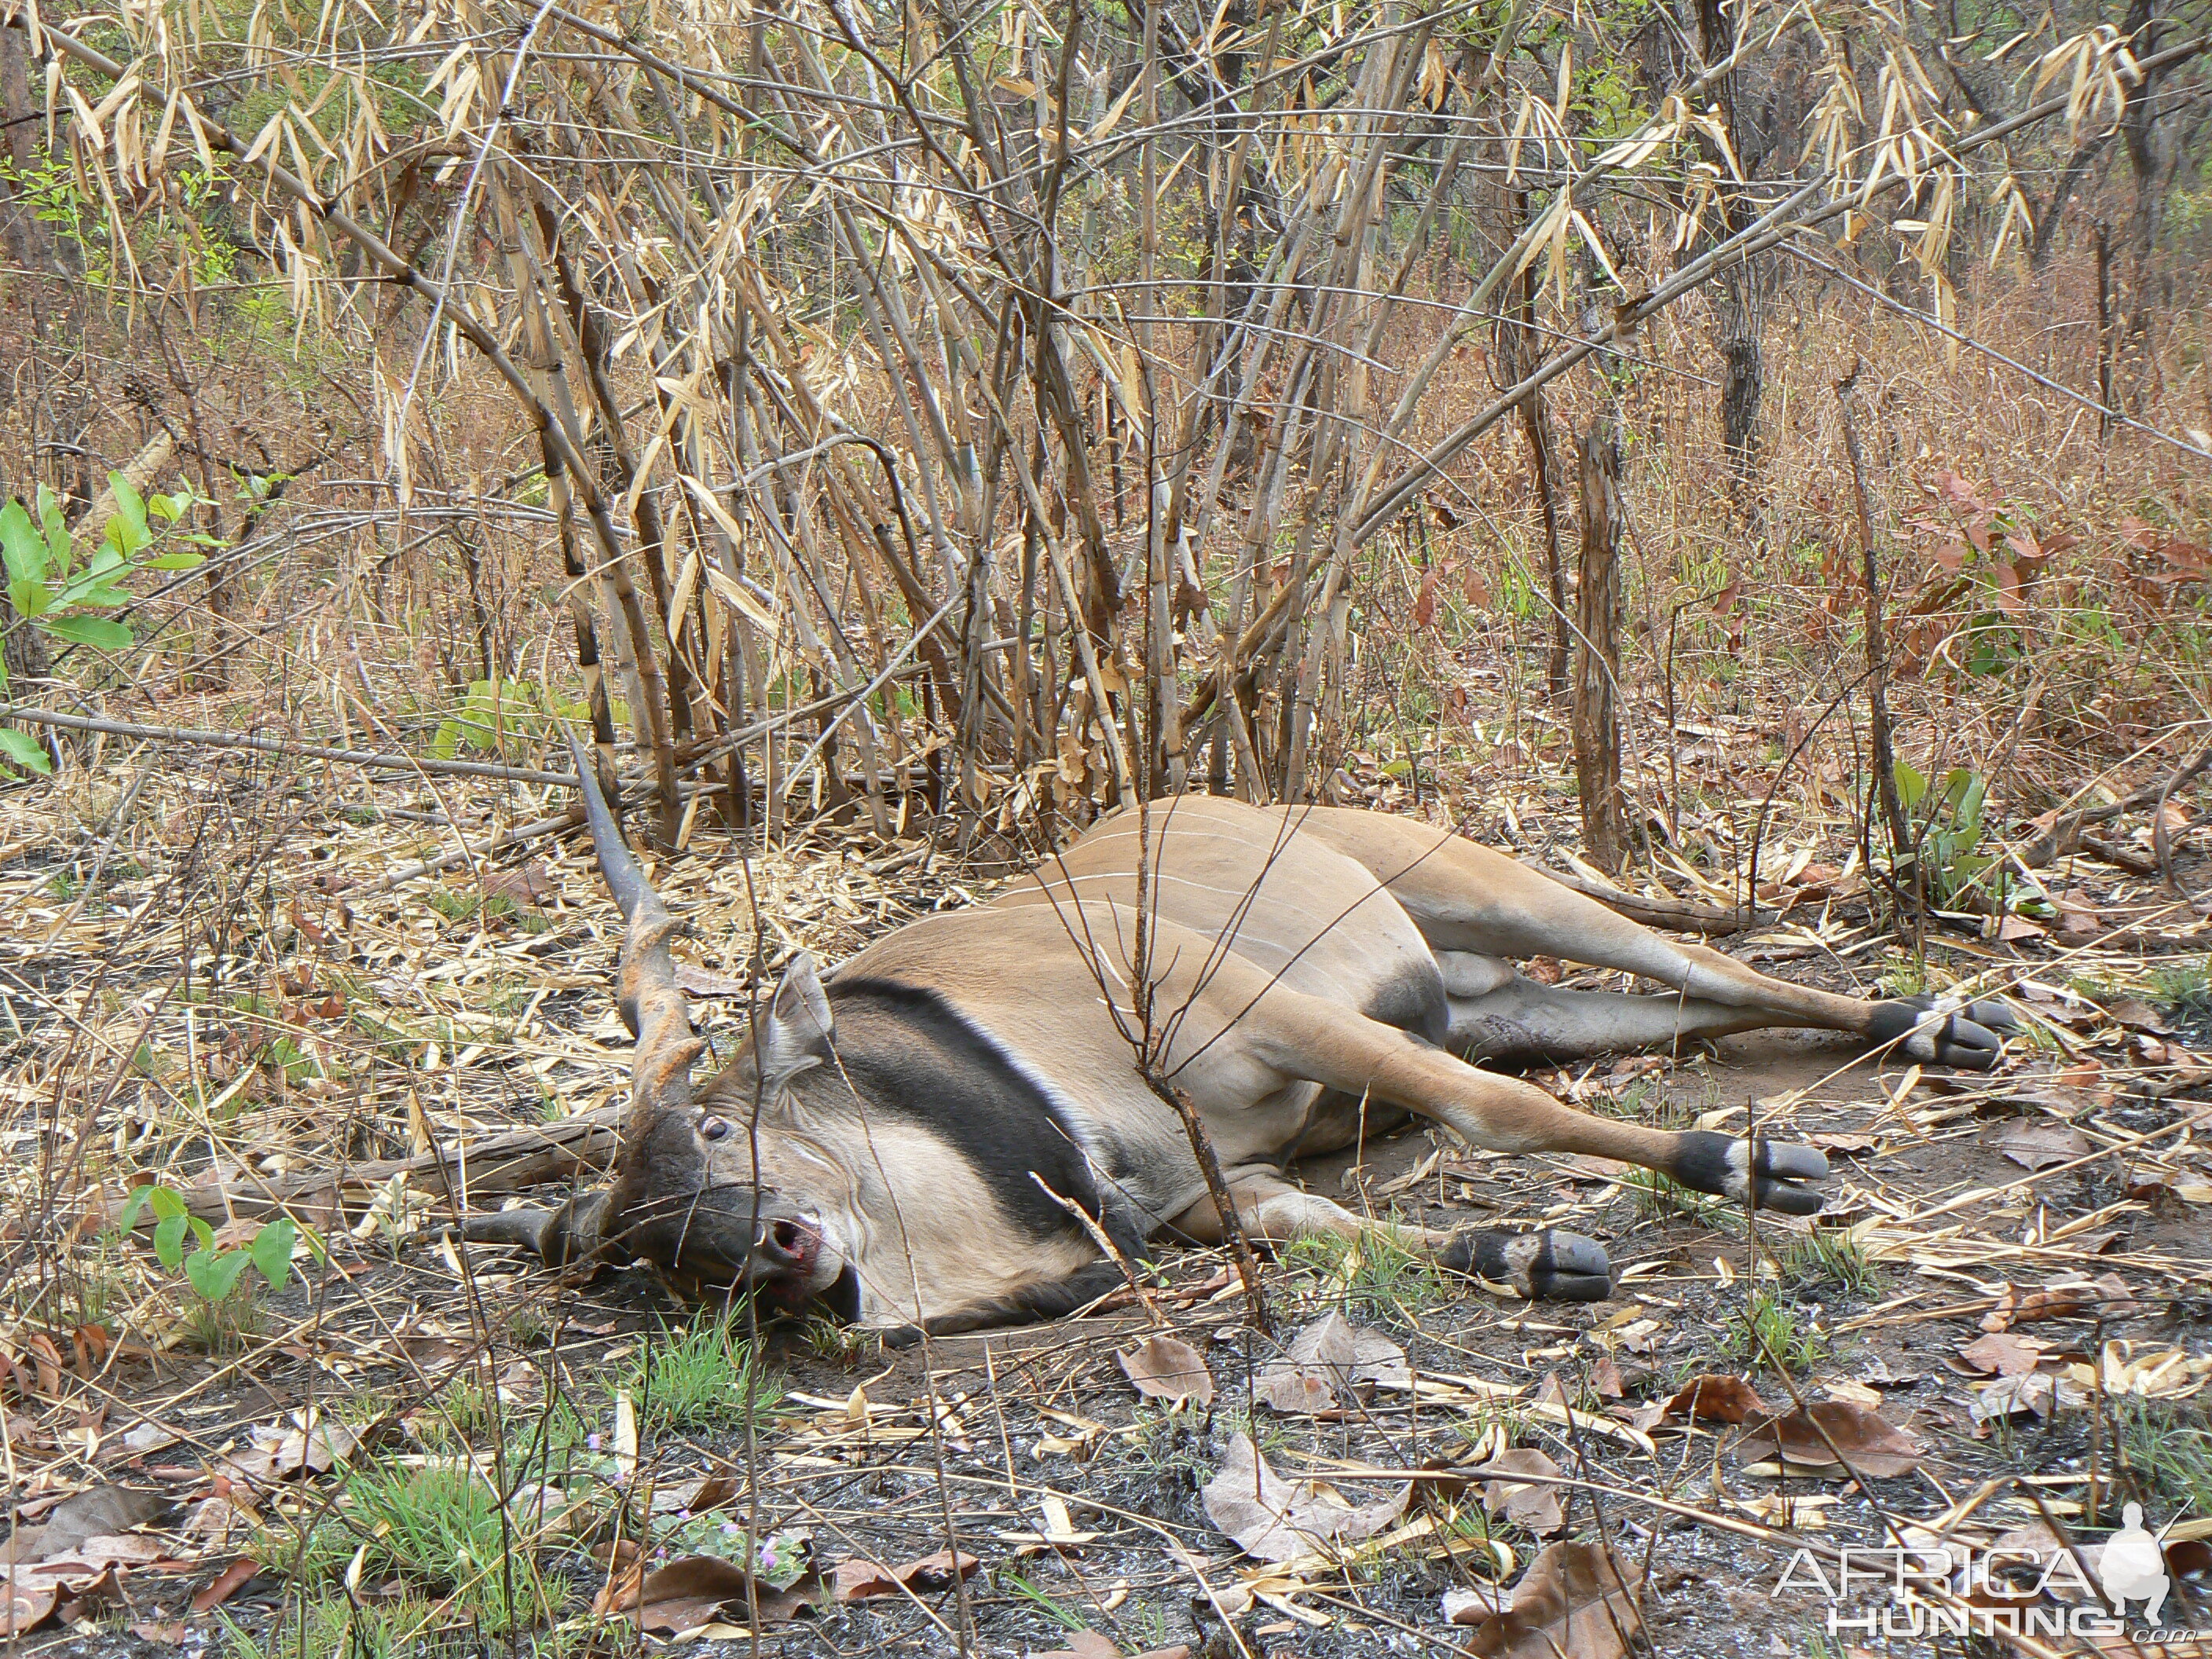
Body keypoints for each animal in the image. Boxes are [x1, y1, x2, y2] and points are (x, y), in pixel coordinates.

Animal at [462, 760, 2008, 1345]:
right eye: (656, 1254)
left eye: (720, 1129)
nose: (781, 1256)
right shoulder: (1218, 1192)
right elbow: (1337, 1229)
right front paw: (1530, 1254)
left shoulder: (1268, 1016)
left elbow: (1492, 1116)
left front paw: (1734, 1163)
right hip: (1499, 995)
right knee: (1671, 1015)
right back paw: (1923, 1028)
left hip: (1494, 893)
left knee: (1711, 968)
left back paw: (1930, 1029)